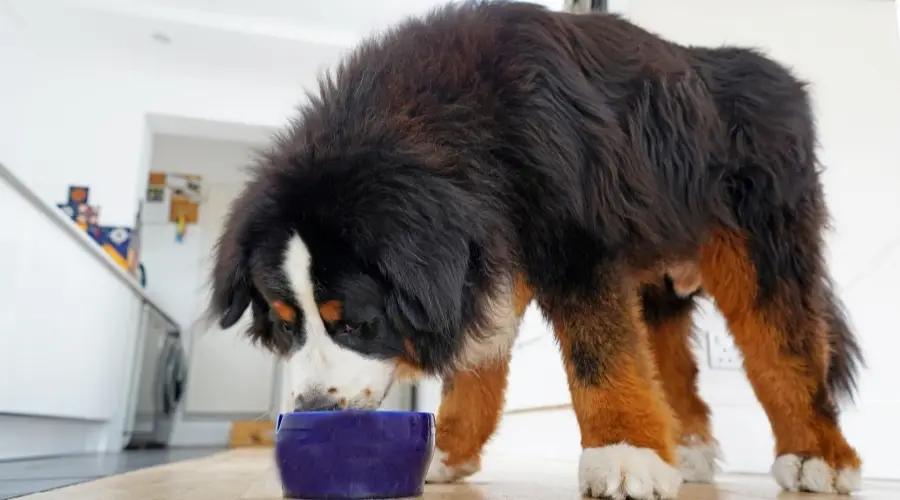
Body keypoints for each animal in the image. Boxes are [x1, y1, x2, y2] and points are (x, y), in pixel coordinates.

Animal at [207, 1, 860, 498]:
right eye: (286, 326)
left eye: (358, 325)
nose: (314, 406)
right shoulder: (486, 254)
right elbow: (475, 364)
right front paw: (448, 451)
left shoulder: (576, 243)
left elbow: (601, 357)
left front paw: (623, 452)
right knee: (670, 358)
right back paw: (689, 447)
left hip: (762, 246)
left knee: (784, 347)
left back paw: (817, 455)